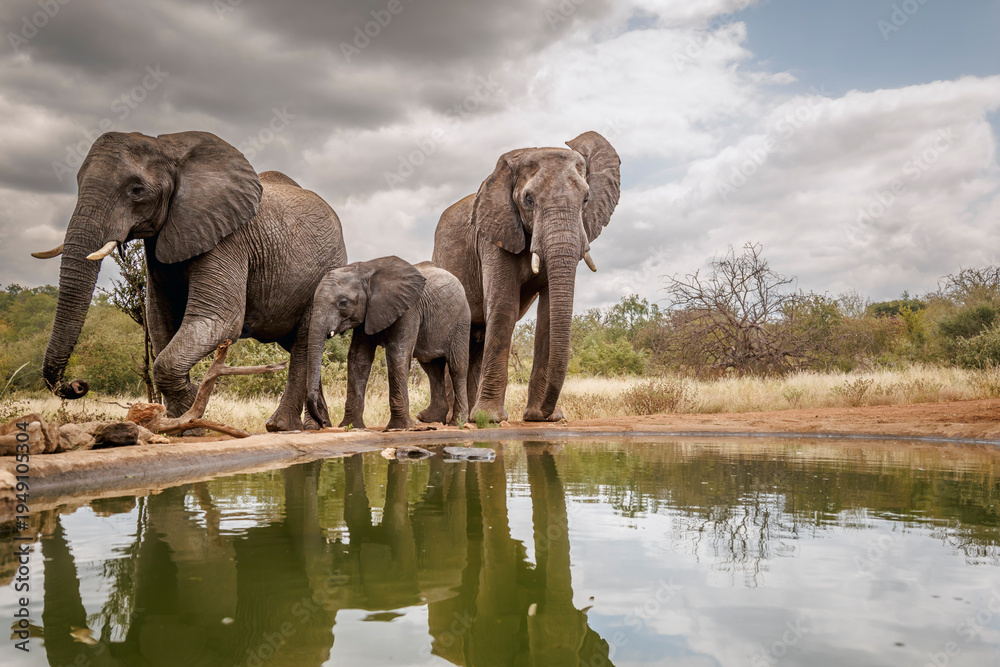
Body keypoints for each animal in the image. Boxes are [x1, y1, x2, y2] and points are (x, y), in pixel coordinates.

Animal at [32, 130, 348, 432]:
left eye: (137, 191)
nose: (78, 385)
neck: (171, 150)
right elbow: (160, 321)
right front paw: (181, 422)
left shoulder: (228, 238)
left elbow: (218, 319)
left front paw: (189, 413)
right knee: (303, 344)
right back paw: (317, 426)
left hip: (327, 273)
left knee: (305, 341)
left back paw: (282, 426)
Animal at [304, 256, 470, 431]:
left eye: (343, 303)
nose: (323, 423)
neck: (366, 270)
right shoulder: (368, 313)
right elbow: (359, 358)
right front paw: (351, 426)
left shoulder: (409, 309)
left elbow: (397, 355)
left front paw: (401, 427)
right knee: (432, 367)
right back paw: (428, 419)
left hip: (461, 322)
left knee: (457, 367)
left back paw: (457, 422)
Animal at [432, 131, 620, 422]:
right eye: (528, 200)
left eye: (586, 200)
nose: (548, 412)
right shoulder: (494, 234)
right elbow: (503, 306)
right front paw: (490, 419)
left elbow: (549, 315)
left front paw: (539, 418)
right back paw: (456, 420)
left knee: (477, 340)